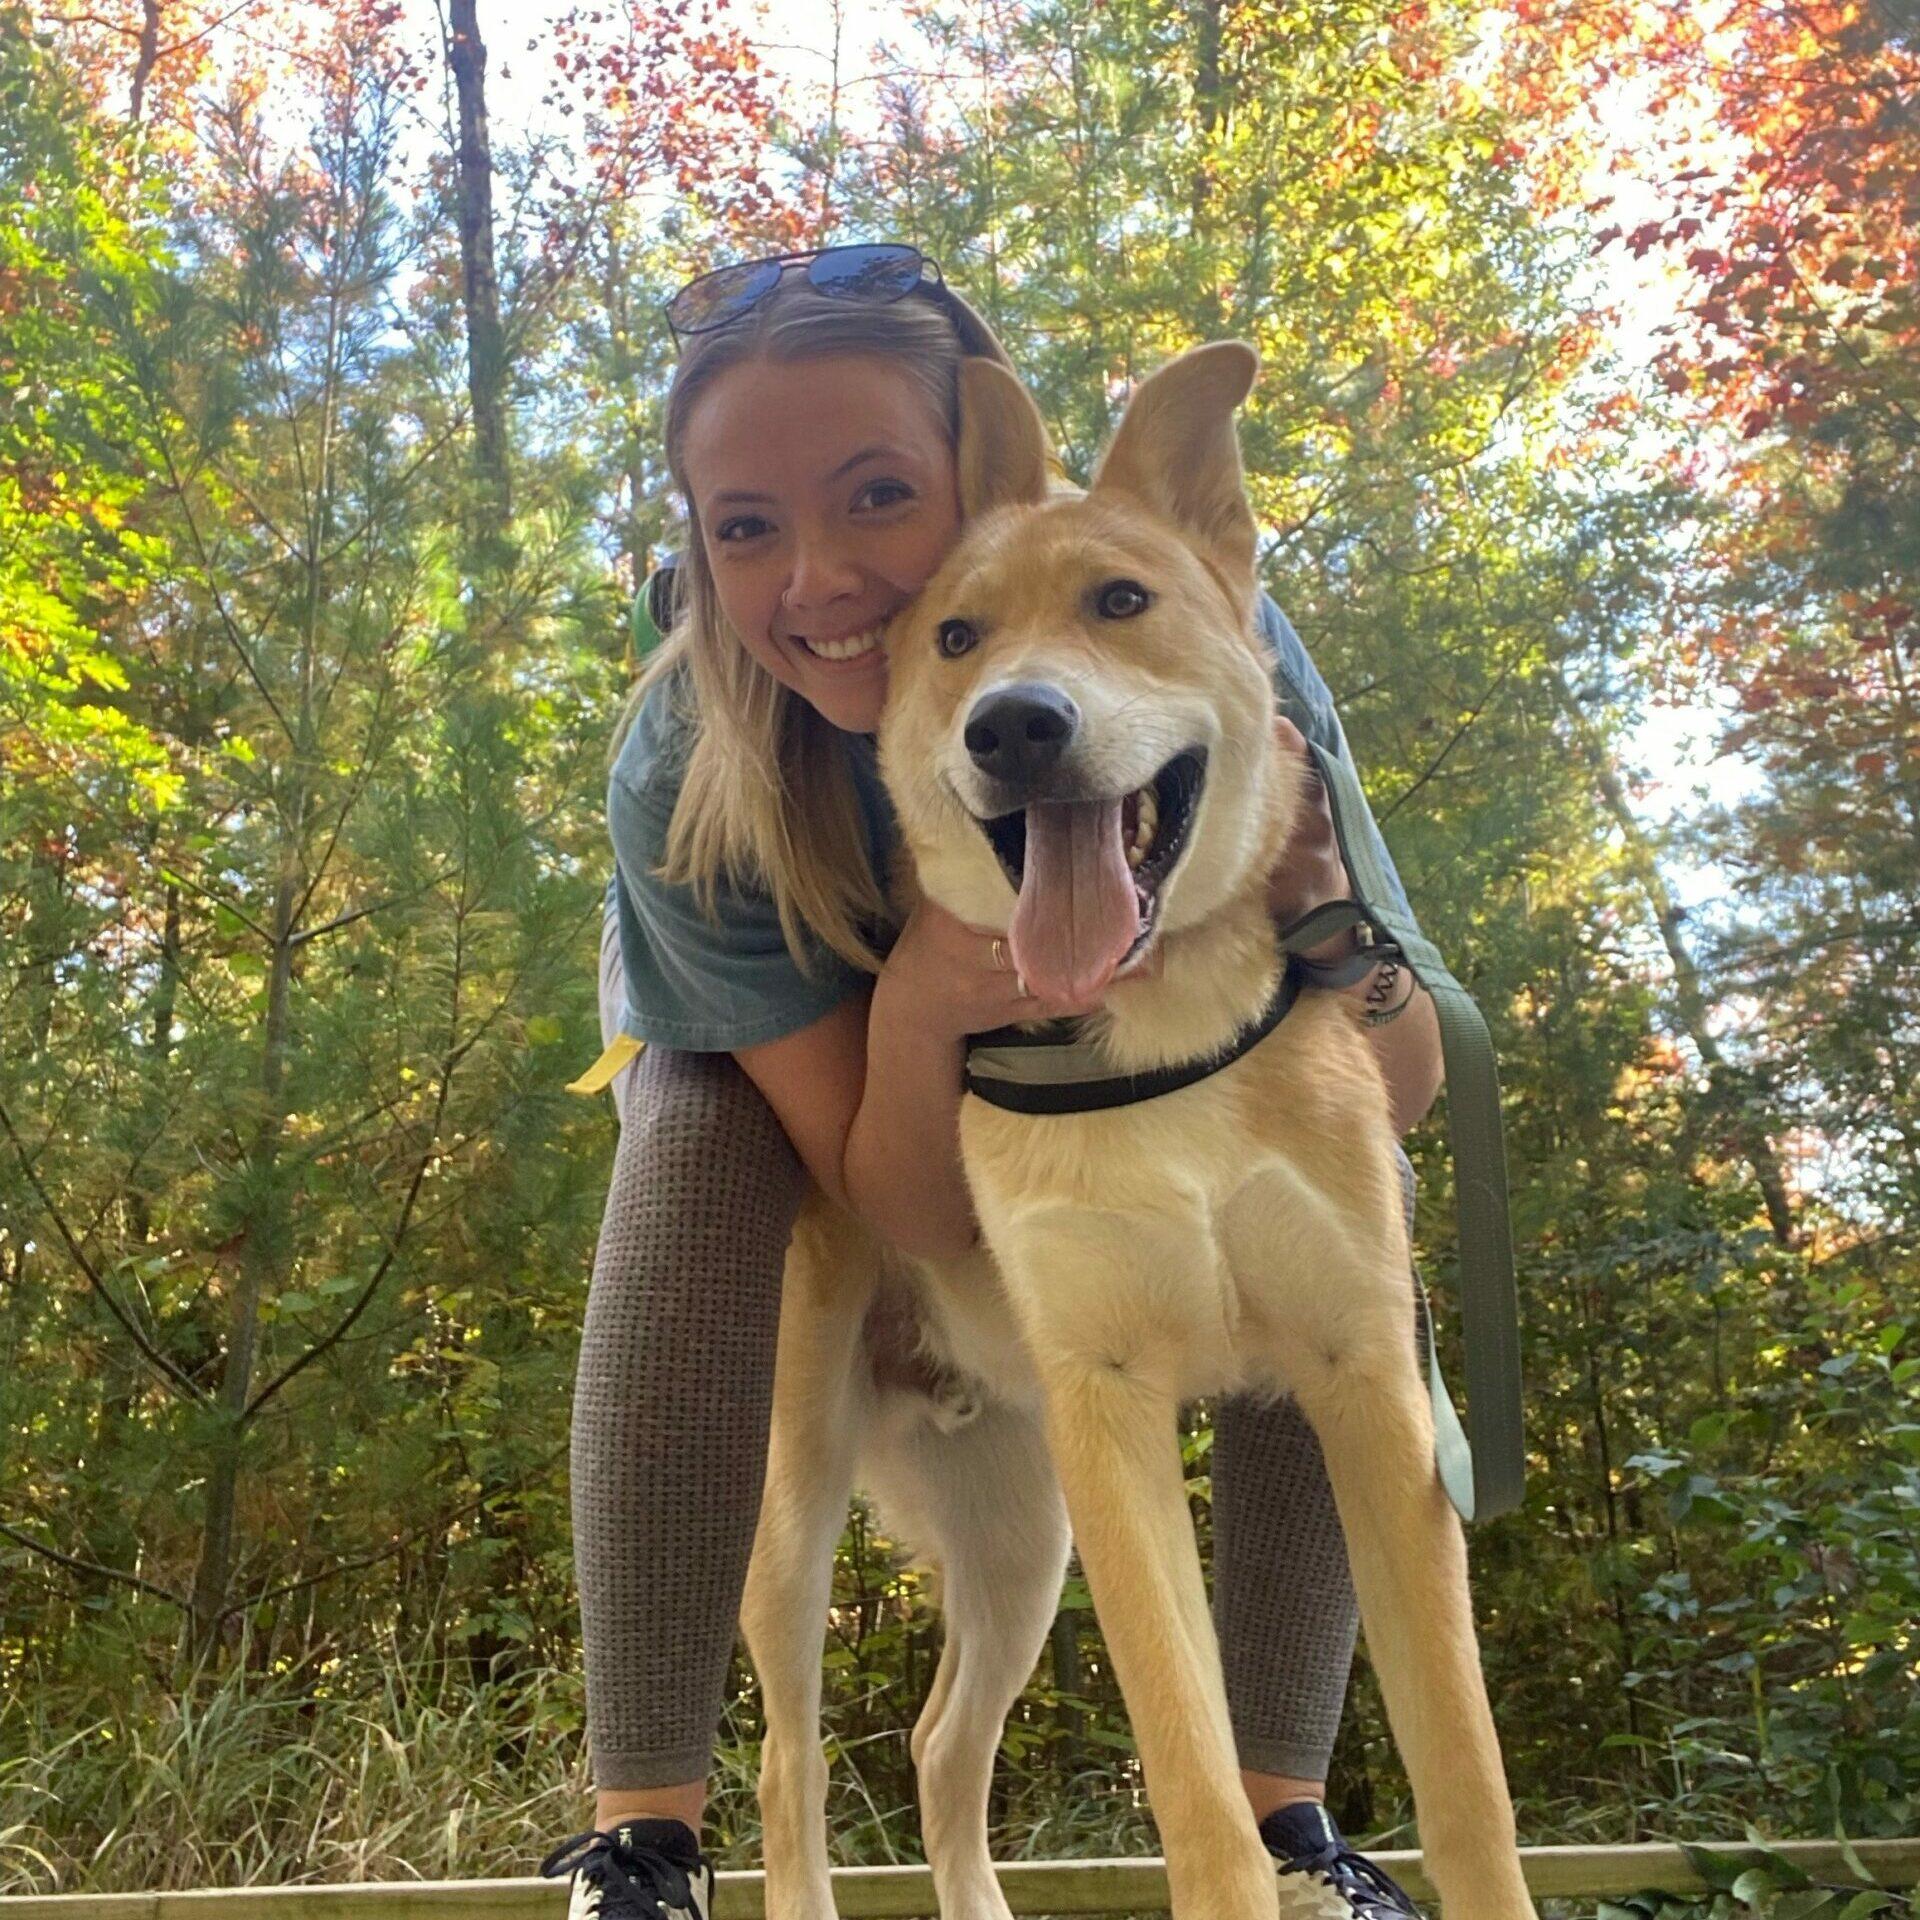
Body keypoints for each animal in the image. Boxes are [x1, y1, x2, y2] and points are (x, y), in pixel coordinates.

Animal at [733, 341, 1528, 1920]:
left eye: (1121, 600)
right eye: (956, 636)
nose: (1014, 725)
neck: (1160, 1041)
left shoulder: (1369, 1385)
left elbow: (1465, 1779)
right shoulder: (1112, 1414)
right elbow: (1195, 1785)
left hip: (1019, 1535)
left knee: (939, 1741)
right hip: (807, 1518)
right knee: (791, 1761)